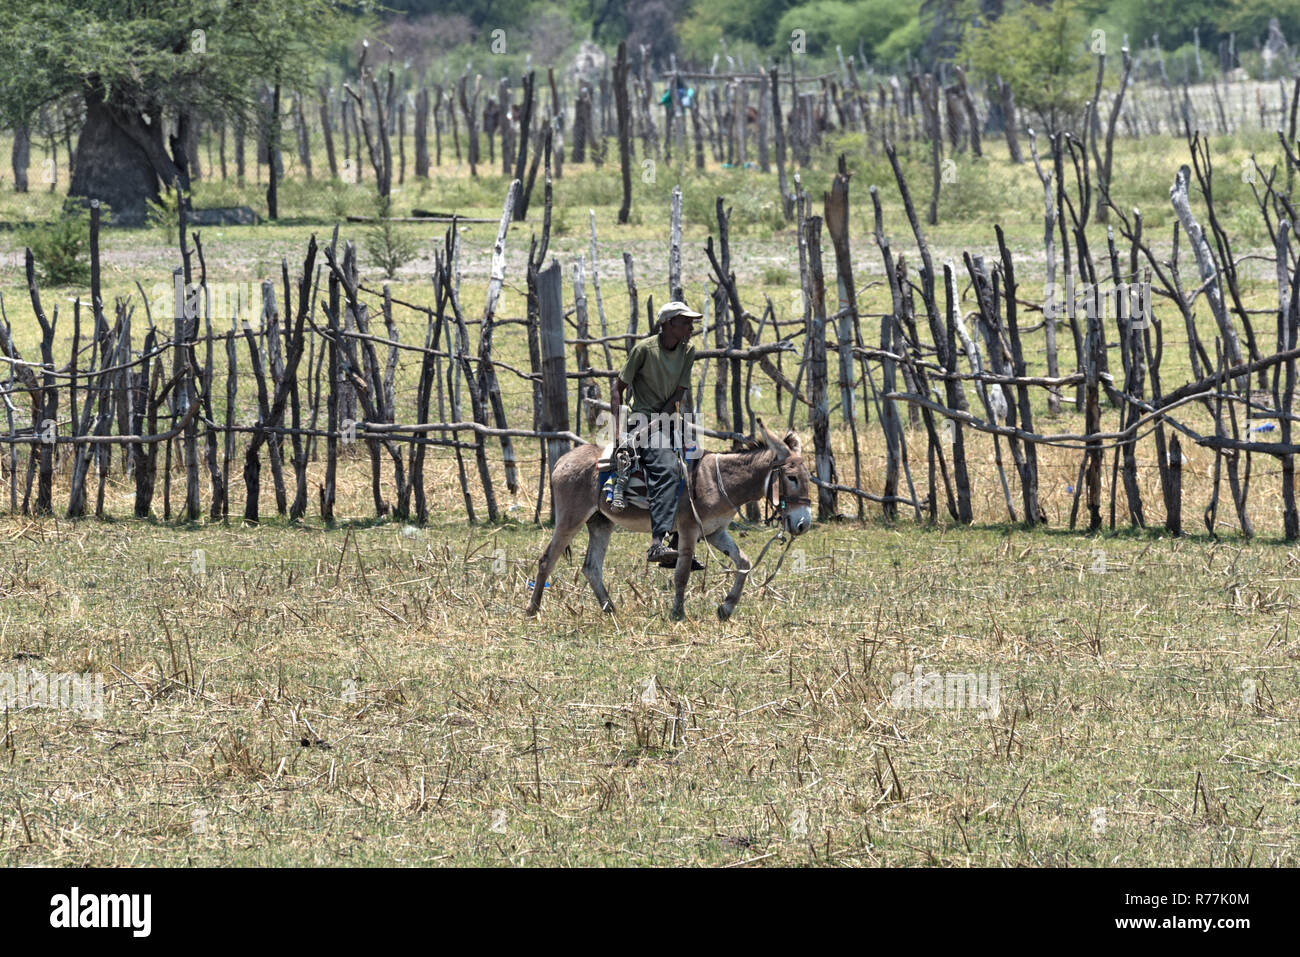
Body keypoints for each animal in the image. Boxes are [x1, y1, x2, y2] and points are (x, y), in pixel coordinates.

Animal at [524, 420, 813, 621]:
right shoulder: (688, 530)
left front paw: (726, 607)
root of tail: (562, 460)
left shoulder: (715, 532)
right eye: (792, 478)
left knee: (591, 567)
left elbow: (744, 563)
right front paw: (678, 613)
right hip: (570, 518)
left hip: (600, 522)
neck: (718, 481)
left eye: (808, 477)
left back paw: (610, 610)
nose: (803, 525)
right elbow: (682, 573)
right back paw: (532, 609)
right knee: (547, 560)